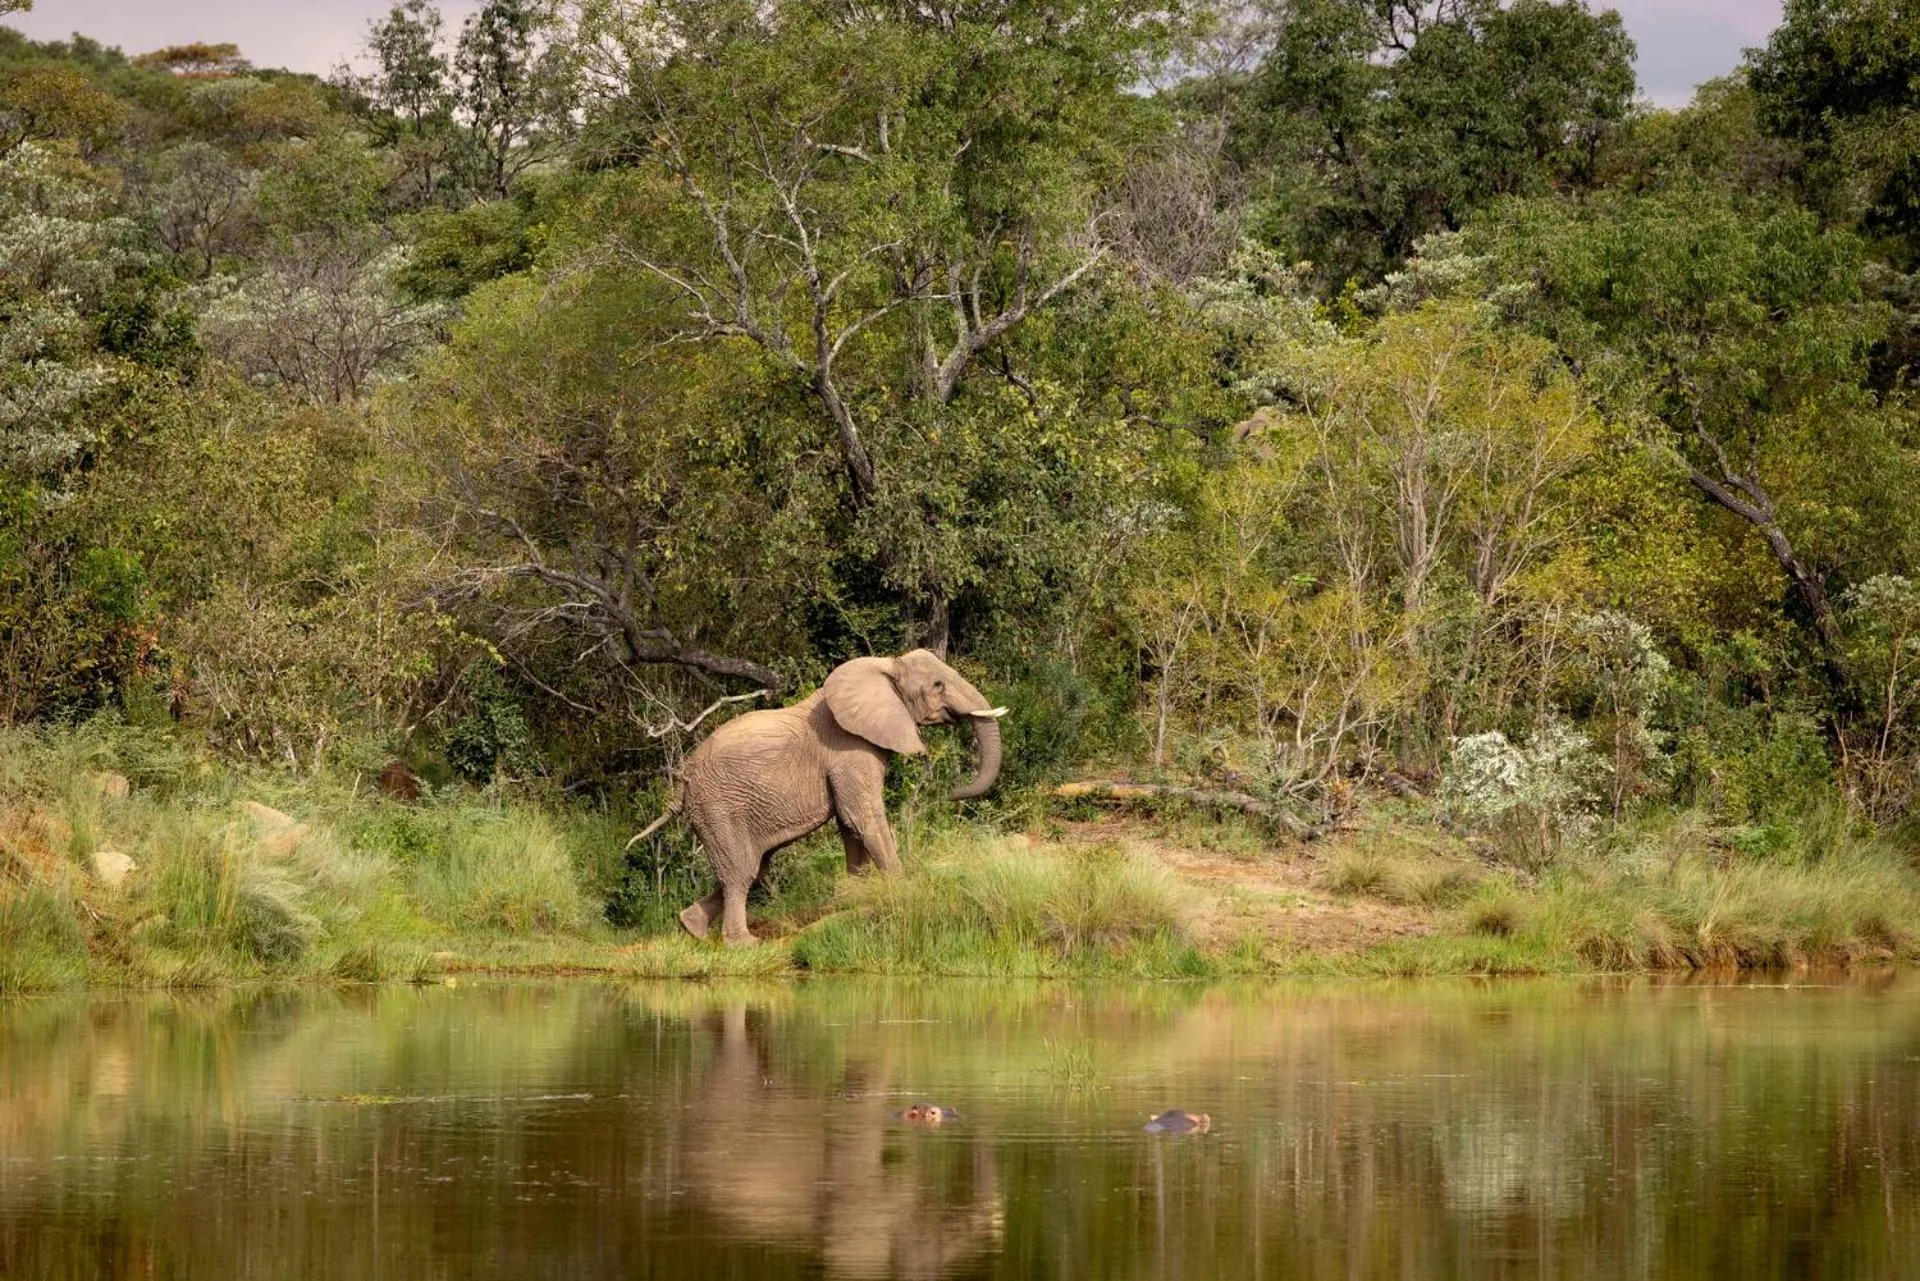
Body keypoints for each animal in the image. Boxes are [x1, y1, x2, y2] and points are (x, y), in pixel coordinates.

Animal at [634, 649, 1008, 946]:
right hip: (717, 807)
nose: (950, 795)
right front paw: (903, 891)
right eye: (938, 685)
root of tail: (682, 782)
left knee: (751, 864)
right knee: (741, 871)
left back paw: (690, 928)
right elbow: (863, 817)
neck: (886, 667)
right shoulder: (848, 750)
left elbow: (850, 824)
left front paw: (856, 897)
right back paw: (743, 945)